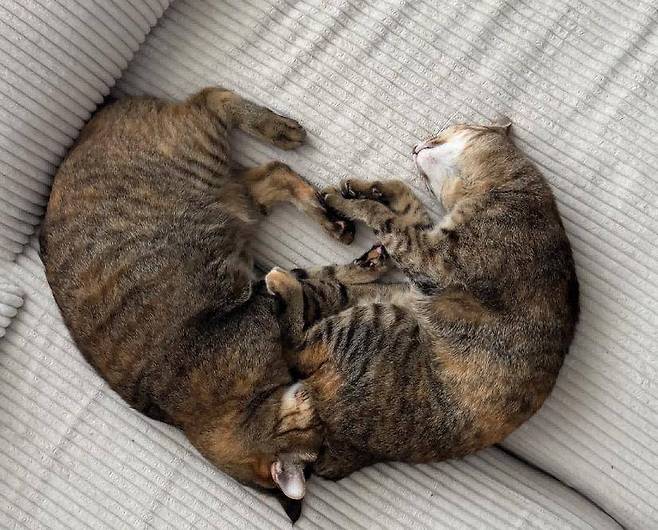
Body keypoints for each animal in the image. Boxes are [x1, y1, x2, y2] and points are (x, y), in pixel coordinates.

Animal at [39, 87, 355, 505]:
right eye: (318, 427)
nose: (323, 396)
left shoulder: (259, 299)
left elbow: (326, 284)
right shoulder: (266, 293)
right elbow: (324, 283)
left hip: (203, 150)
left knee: (213, 98)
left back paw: (279, 130)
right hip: (239, 194)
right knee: (274, 171)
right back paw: (328, 215)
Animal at [265, 121, 579, 479]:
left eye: (450, 128)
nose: (415, 146)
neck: (500, 186)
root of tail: (339, 448)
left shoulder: (432, 258)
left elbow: (384, 217)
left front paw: (349, 199)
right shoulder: (423, 243)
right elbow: (403, 199)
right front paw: (369, 187)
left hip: (375, 321)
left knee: (297, 343)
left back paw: (283, 281)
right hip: (386, 299)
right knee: (323, 295)